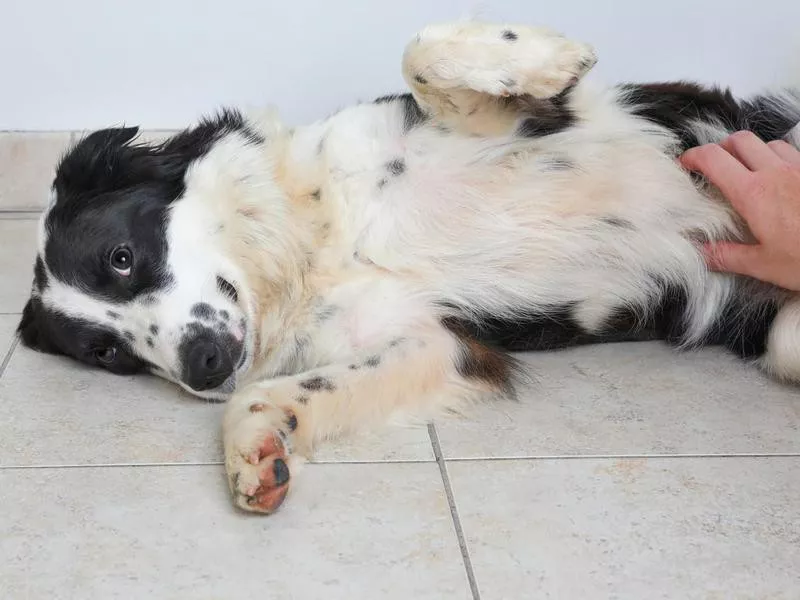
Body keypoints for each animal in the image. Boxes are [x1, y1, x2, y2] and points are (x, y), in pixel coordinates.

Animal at [12, 21, 800, 512]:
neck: (320, 237)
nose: (201, 366)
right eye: (110, 354)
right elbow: (270, 397)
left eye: (122, 258)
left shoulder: (500, 122)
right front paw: (256, 453)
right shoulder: (432, 343)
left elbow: (420, 51)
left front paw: (551, 57)